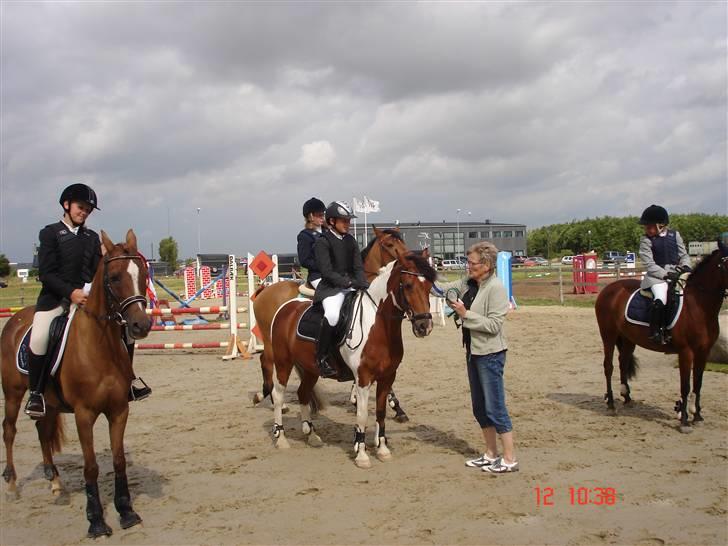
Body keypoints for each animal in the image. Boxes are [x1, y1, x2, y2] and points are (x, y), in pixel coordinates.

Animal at [0, 228, 151, 536]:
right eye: (114, 277)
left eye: (142, 274)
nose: (141, 326)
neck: (101, 346)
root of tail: (16, 319)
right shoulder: (84, 414)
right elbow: (90, 466)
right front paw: (96, 521)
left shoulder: (119, 410)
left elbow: (118, 461)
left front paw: (126, 512)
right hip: (12, 393)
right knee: (9, 431)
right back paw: (11, 485)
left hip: (49, 402)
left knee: (42, 430)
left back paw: (56, 483)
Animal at [250, 225, 410, 416]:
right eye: (390, 244)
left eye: (403, 242)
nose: (409, 259)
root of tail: (265, 290)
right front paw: (394, 405)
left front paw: (357, 399)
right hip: (270, 339)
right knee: (266, 361)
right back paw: (273, 401)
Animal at [270, 251, 436, 468]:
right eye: (408, 285)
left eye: (429, 286)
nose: (424, 326)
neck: (378, 325)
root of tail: (285, 307)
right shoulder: (363, 379)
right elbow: (362, 415)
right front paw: (362, 454)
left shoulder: (387, 378)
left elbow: (380, 413)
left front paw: (382, 450)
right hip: (283, 363)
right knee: (278, 395)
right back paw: (281, 438)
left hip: (311, 369)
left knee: (303, 393)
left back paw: (312, 435)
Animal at [596, 242, 728, 430]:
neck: (697, 305)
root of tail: (609, 288)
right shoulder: (686, 352)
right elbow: (685, 385)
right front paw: (684, 420)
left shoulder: (703, 351)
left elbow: (698, 383)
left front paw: (697, 415)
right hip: (608, 335)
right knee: (609, 366)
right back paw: (611, 404)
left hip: (628, 339)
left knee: (623, 362)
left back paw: (627, 398)